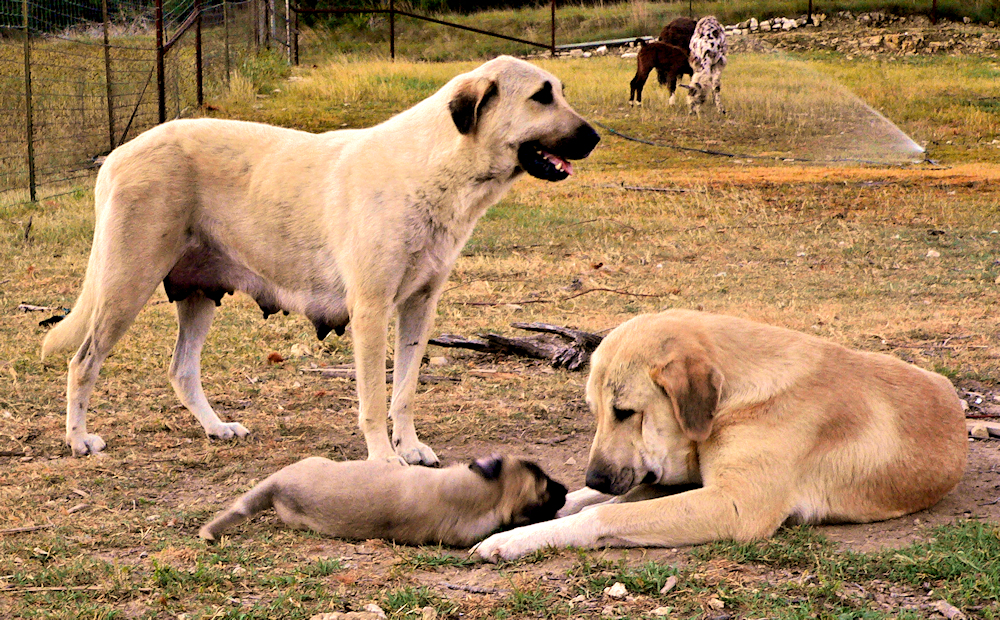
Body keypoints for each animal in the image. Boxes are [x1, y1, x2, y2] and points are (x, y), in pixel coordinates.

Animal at [43, 57, 596, 464]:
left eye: (561, 91)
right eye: (541, 96)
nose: (593, 137)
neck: (435, 167)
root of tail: (117, 155)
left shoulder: (419, 307)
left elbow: (405, 391)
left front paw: (411, 448)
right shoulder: (371, 310)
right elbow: (373, 398)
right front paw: (384, 461)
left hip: (198, 296)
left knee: (181, 371)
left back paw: (217, 428)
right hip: (126, 287)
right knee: (82, 361)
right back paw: (78, 439)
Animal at [476, 310, 968, 560]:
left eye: (625, 412)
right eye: (595, 413)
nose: (595, 477)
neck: (736, 393)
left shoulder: (735, 505)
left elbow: (603, 514)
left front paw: (511, 540)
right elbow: (585, 501)